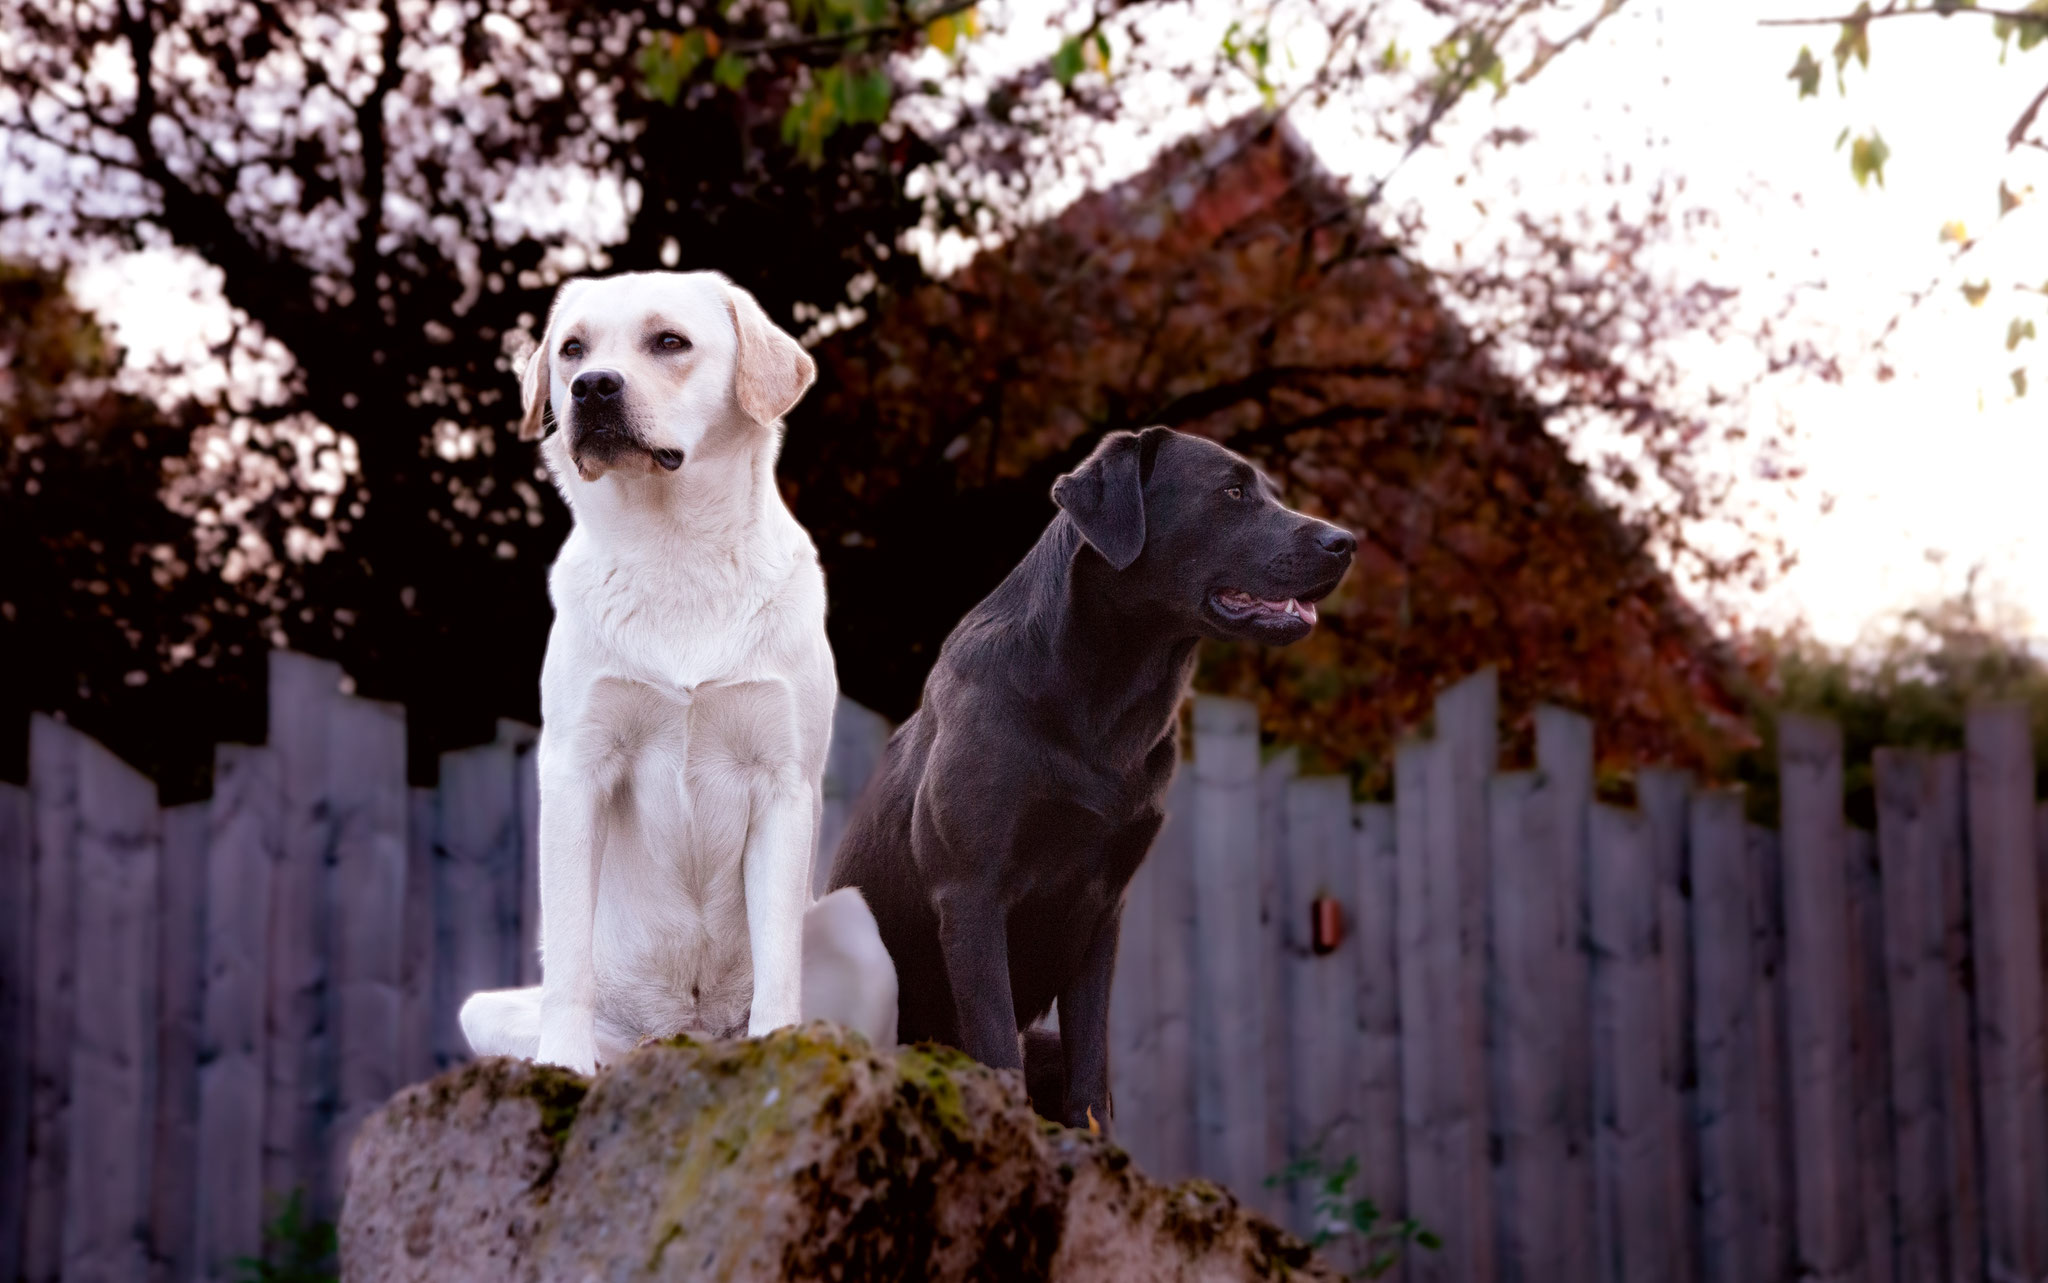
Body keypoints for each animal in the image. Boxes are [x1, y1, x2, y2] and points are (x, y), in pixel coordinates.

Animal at [464, 270, 897, 1065]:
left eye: (669, 341)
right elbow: (566, 954)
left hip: (859, 928)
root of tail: (691, 1032)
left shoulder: (783, 780)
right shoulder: (576, 767)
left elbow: (777, 962)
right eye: (572, 349)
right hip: (489, 1010)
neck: (677, 552)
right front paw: (563, 1063)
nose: (592, 388)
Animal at [823, 424, 1351, 1123]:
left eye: (1271, 491)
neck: (1102, 708)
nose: (1346, 543)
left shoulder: (1103, 907)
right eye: (1233, 492)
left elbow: (1092, 1070)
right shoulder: (971, 893)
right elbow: (997, 1046)